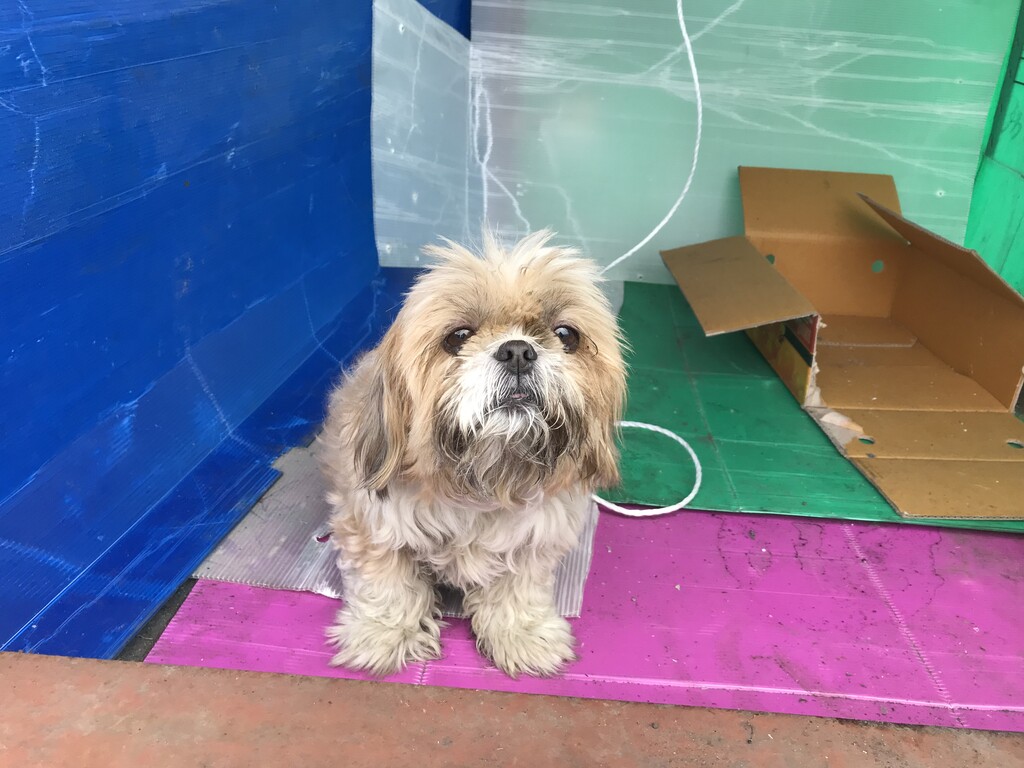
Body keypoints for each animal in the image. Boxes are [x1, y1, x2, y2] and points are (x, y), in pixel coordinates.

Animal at [317, 231, 626, 677]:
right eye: (458, 336)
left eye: (566, 334)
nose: (518, 351)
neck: (484, 479)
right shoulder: (373, 527)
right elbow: (388, 584)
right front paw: (383, 632)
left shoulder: (535, 538)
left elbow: (518, 588)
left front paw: (523, 632)